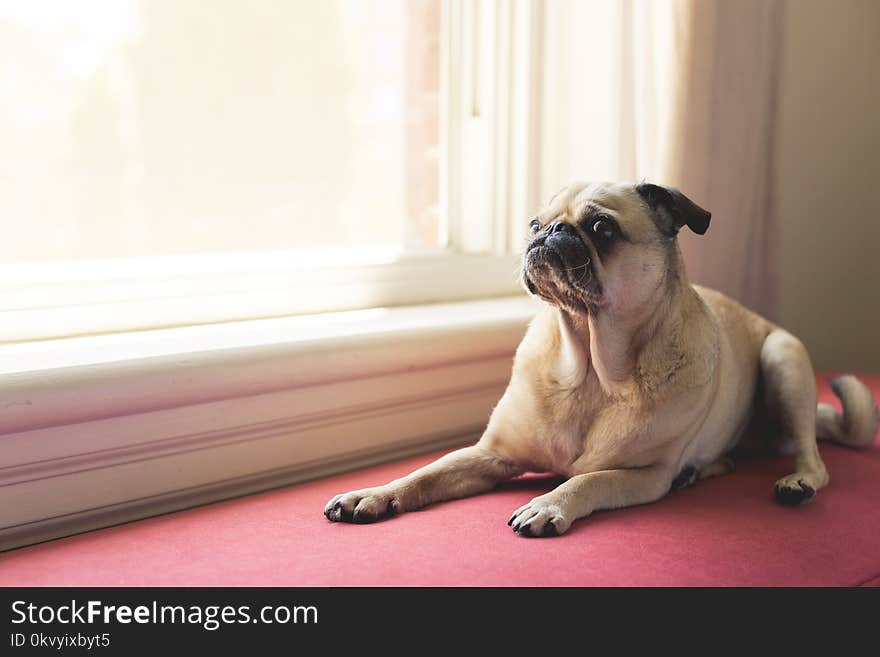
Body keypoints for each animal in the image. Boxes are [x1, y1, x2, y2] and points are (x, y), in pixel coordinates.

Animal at [324, 182, 880, 536]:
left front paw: (549, 503)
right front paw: (373, 493)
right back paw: (702, 470)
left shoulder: (642, 474)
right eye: (535, 222)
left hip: (784, 360)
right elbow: (425, 474)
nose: (548, 233)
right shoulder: (491, 454)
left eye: (601, 228)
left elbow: (588, 478)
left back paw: (796, 481)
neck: (590, 368)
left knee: (813, 457)